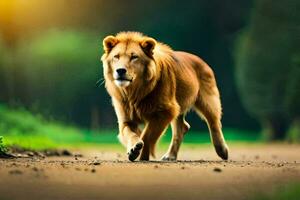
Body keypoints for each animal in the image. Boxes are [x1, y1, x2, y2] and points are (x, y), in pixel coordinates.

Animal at [102, 31, 229, 162]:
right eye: (116, 56)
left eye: (134, 57)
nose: (120, 70)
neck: (134, 92)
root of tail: (202, 61)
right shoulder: (126, 119)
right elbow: (130, 134)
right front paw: (133, 149)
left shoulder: (166, 111)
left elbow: (147, 135)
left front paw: (142, 155)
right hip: (178, 107)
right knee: (182, 129)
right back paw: (170, 156)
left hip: (207, 101)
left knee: (214, 123)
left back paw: (222, 151)